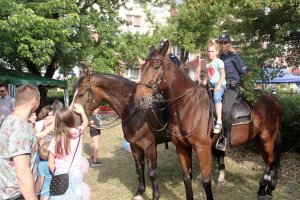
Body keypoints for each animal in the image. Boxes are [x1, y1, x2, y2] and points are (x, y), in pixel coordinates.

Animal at [72, 72, 169, 200]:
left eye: (81, 93)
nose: (72, 120)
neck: (139, 113)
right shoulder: (135, 146)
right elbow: (139, 169)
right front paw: (140, 192)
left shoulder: (150, 147)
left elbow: (152, 173)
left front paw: (155, 196)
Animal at [135, 41, 282, 200]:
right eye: (142, 68)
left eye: (156, 66)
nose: (139, 99)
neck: (188, 106)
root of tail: (273, 100)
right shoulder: (182, 148)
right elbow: (187, 178)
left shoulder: (202, 148)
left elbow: (206, 181)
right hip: (259, 139)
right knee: (269, 163)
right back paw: (264, 189)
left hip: (267, 139)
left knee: (271, 162)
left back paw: (267, 189)